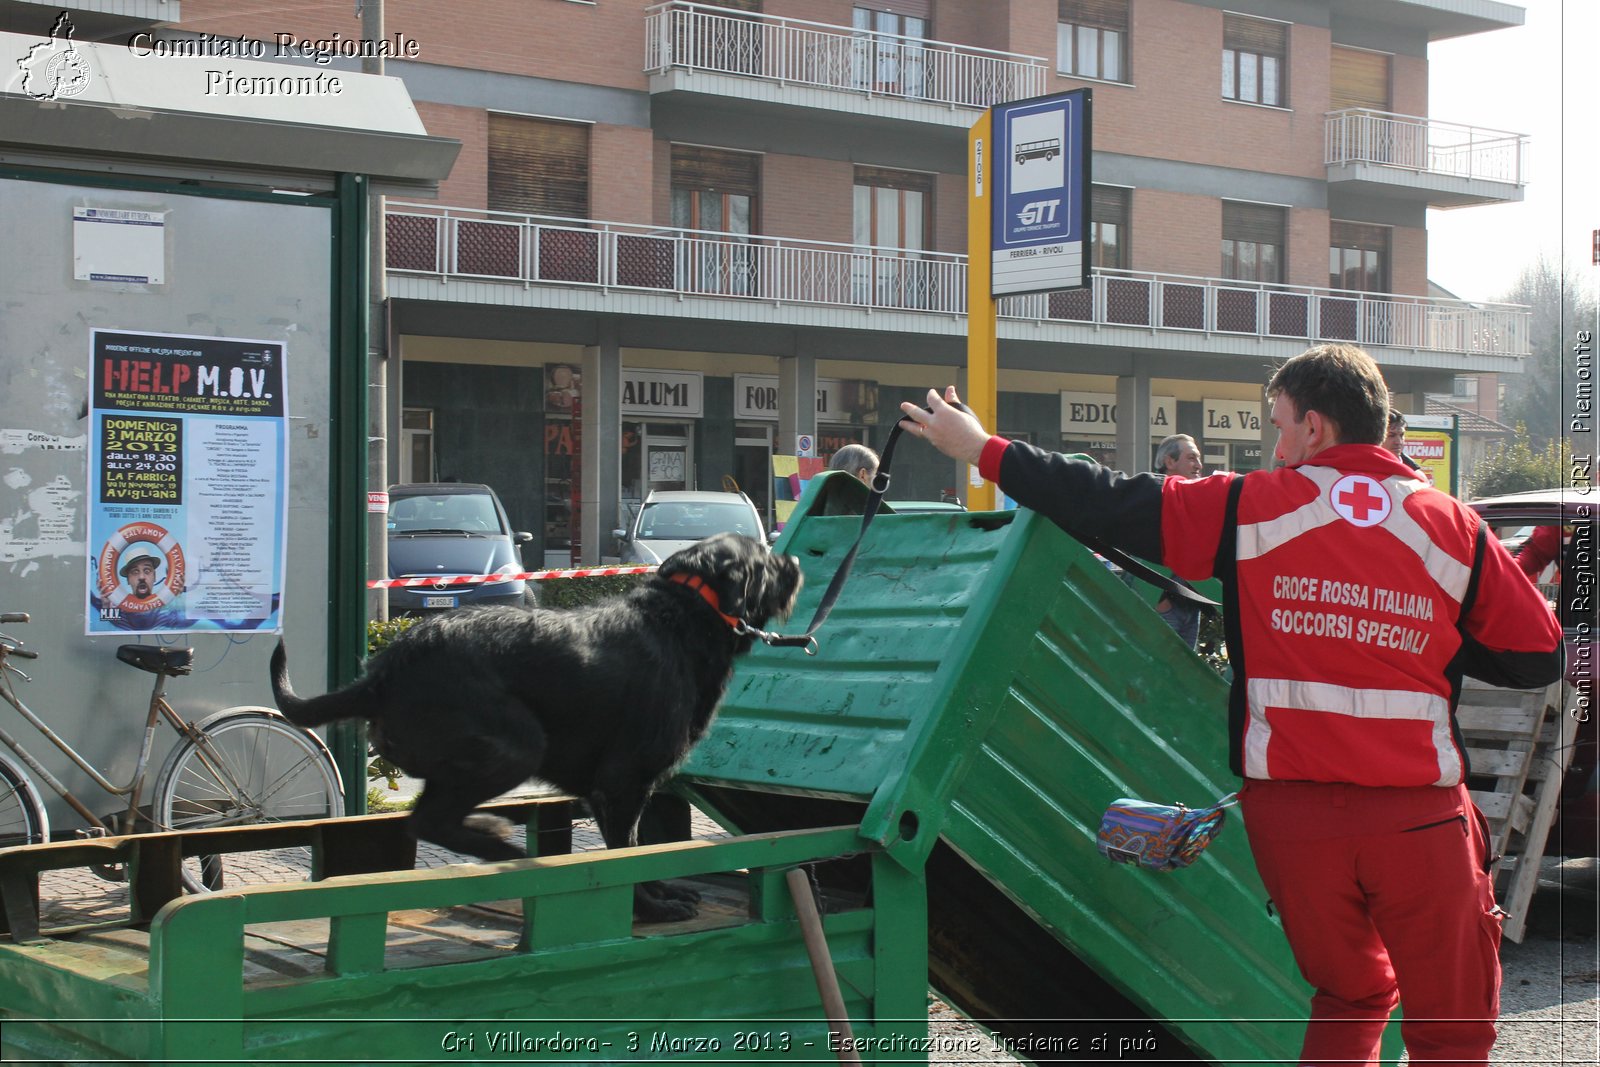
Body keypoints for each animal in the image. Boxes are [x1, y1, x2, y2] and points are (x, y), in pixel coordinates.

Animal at [273, 534, 806, 921]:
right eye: (764, 557)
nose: (796, 559)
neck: (682, 616)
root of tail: (384, 671)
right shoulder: (622, 781)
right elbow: (623, 854)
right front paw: (652, 908)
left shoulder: (621, 791)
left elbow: (637, 848)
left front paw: (660, 892)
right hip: (518, 744)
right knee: (428, 820)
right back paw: (498, 839)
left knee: (428, 816)